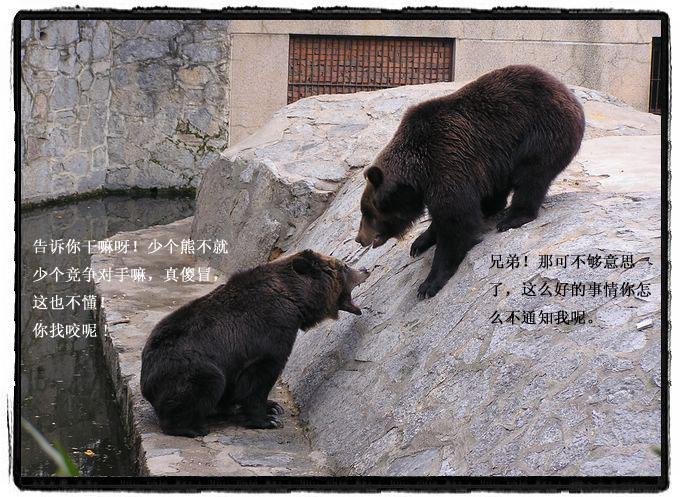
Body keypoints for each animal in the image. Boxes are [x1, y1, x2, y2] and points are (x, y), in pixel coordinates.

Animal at [140, 249, 370, 438]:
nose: (365, 269)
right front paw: (267, 420)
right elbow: (259, 377)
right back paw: (191, 427)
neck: (296, 300)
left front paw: (273, 406)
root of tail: (146, 379)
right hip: (186, 366)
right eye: (344, 266)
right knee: (206, 382)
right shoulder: (268, 332)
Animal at [355, 65, 585, 300]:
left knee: (532, 177)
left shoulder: (445, 161)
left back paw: (513, 218)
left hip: (541, 133)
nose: (359, 238)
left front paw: (429, 284)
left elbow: (457, 221)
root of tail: (570, 95)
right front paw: (419, 242)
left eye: (368, 212)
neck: (417, 174)